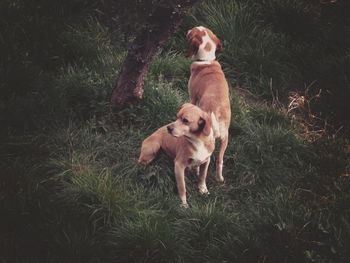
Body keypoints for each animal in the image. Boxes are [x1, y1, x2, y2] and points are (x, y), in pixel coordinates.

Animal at [187, 26, 231, 184]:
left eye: (193, 30)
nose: (188, 29)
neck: (206, 60)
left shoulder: (193, 97)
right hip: (225, 139)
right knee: (219, 160)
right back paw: (219, 178)